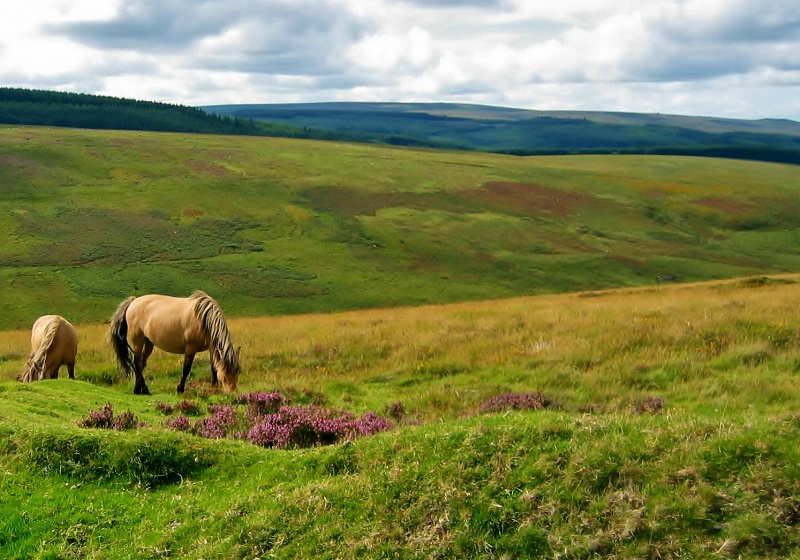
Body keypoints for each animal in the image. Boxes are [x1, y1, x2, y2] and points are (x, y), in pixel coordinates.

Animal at [108, 290, 241, 396]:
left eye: (238, 372)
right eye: (226, 374)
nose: (232, 393)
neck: (204, 319)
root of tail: (133, 301)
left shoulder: (212, 347)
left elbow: (214, 368)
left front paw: (214, 388)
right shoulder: (190, 348)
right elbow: (186, 369)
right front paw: (180, 389)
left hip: (148, 342)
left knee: (141, 364)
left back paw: (138, 389)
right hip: (138, 340)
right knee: (137, 363)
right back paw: (144, 390)